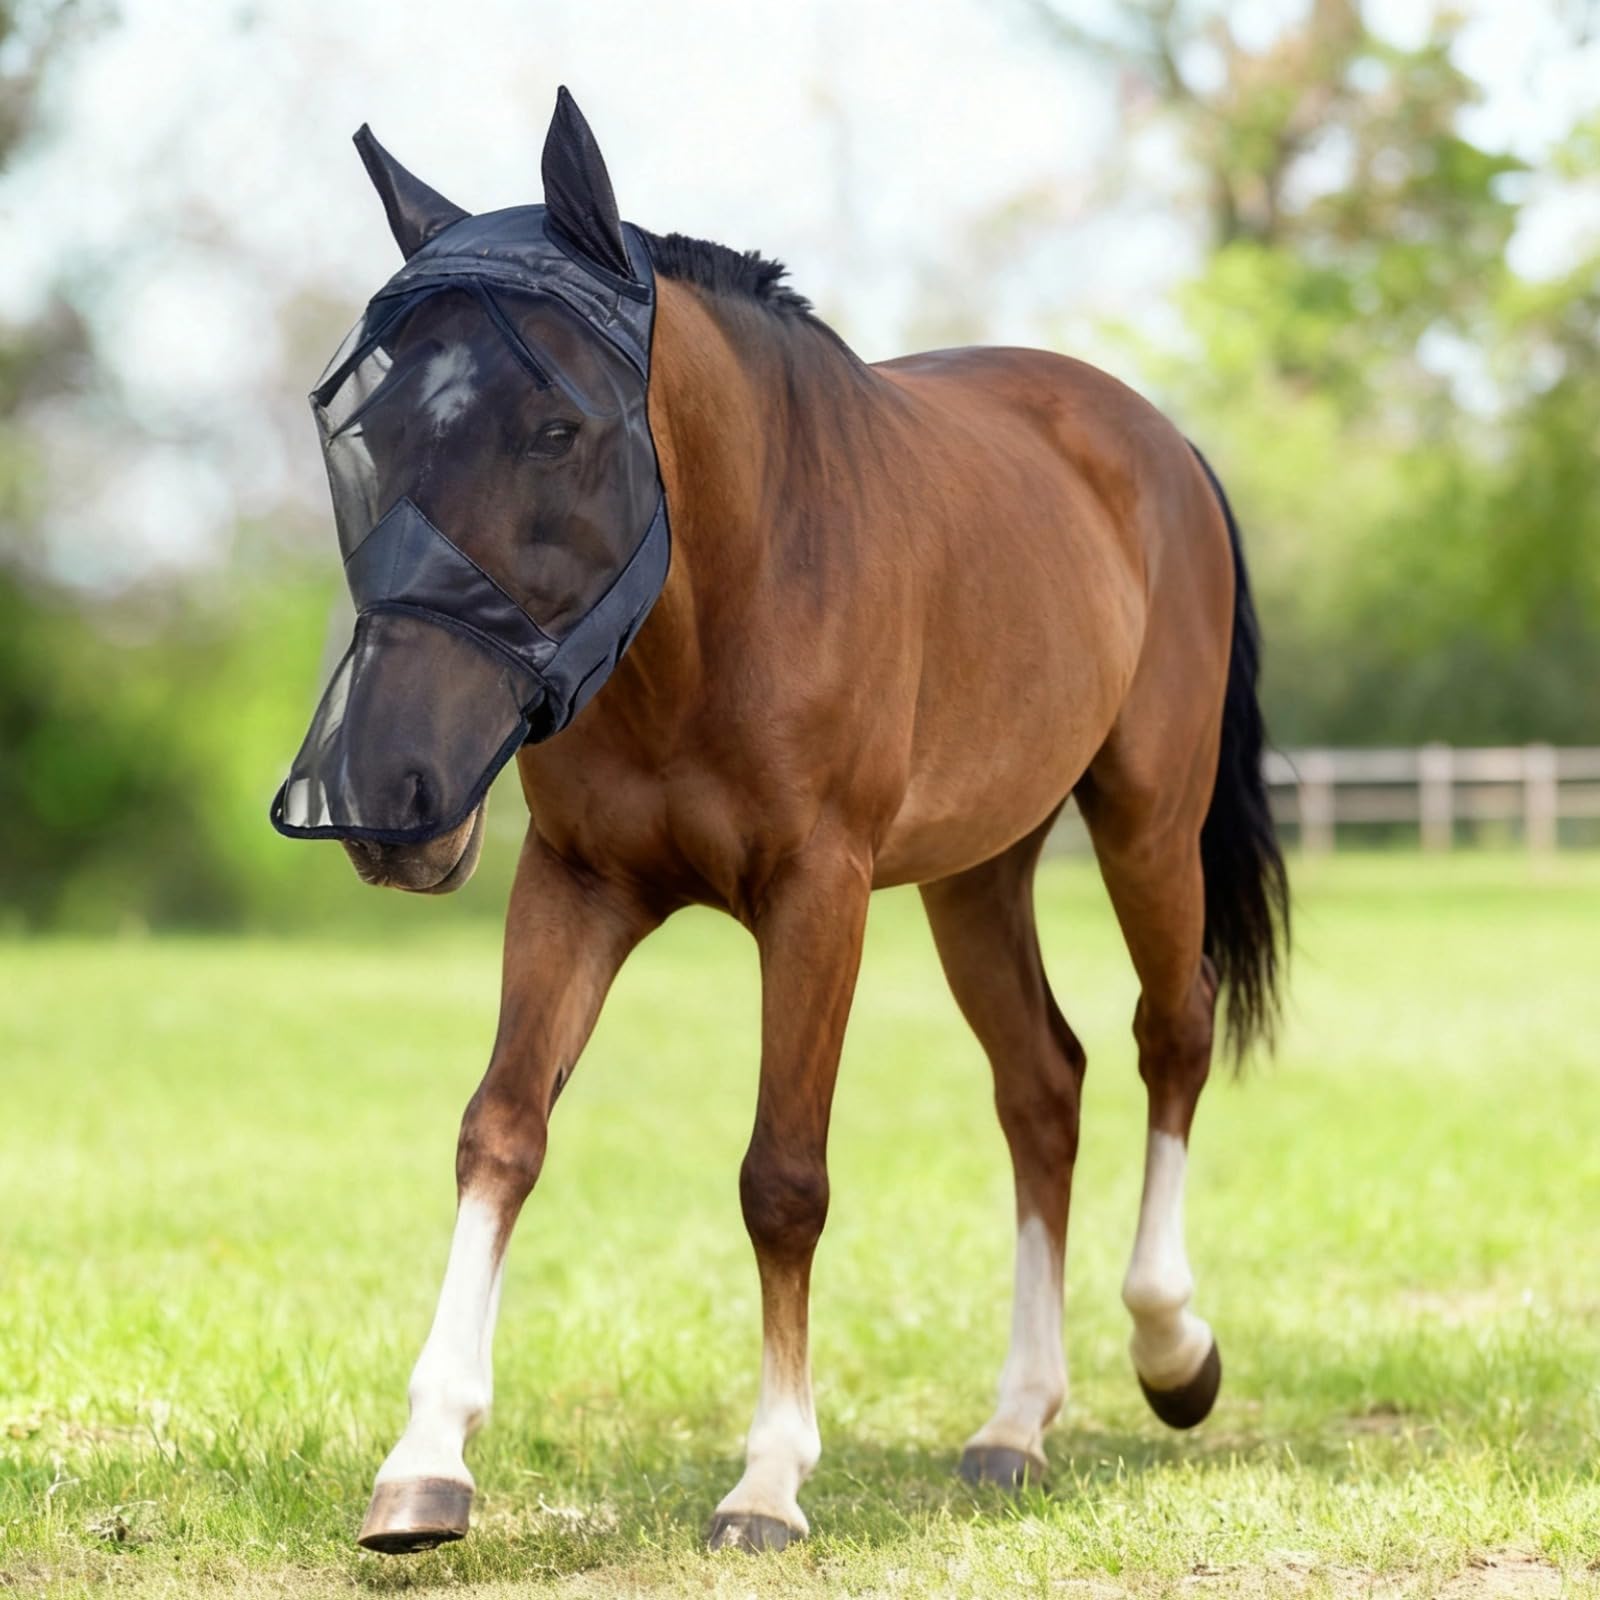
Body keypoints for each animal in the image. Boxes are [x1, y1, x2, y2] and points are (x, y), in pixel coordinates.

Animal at [286, 91, 1289, 1555]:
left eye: (556, 429)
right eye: (360, 432)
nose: (383, 794)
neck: (723, 606)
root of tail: (1150, 439)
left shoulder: (817, 894)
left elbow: (783, 1178)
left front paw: (766, 1481)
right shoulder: (576, 885)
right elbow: (502, 1129)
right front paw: (425, 1464)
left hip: (1146, 819)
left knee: (1173, 1033)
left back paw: (1171, 1351)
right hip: (977, 873)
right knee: (1042, 1086)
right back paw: (1015, 1425)